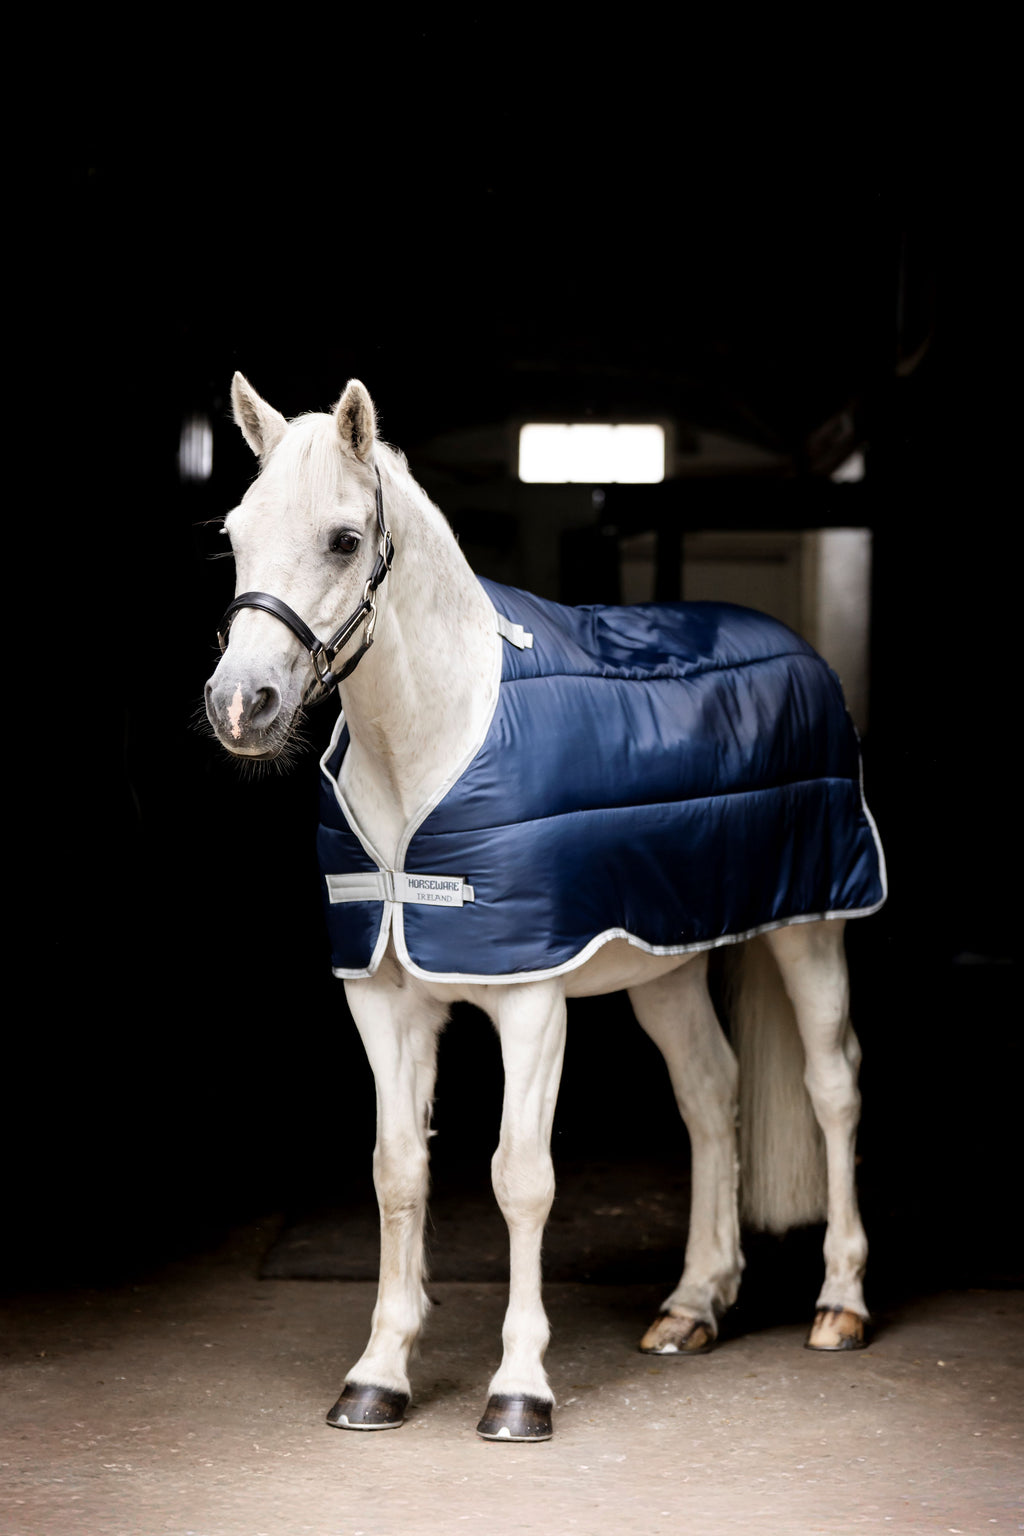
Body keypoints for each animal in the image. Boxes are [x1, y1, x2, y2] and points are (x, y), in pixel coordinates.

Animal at [204, 373, 885, 1442]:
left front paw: (519, 1387)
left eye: (345, 541)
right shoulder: (383, 997)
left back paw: (840, 1304)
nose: (243, 705)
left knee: (833, 1086)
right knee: (710, 1093)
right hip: (667, 962)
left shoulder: (531, 1000)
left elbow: (520, 1178)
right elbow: (397, 1171)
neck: (436, 741)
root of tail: (793, 648)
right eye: (236, 533)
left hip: (810, 928)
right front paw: (377, 1376)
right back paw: (693, 1306)